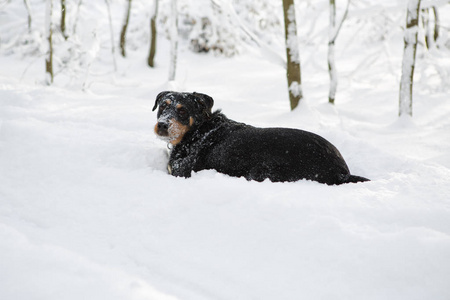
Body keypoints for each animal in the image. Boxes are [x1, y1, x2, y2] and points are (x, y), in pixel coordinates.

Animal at [152, 91, 370, 185]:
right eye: (163, 106)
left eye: (182, 110)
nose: (162, 124)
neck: (196, 132)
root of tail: (341, 171)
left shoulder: (181, 173)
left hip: (262, 171)